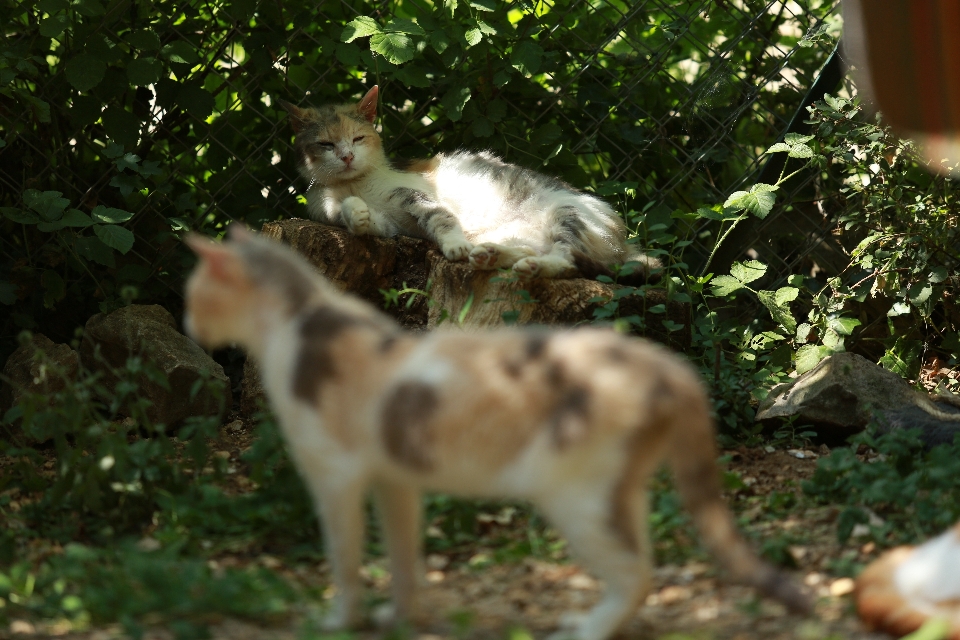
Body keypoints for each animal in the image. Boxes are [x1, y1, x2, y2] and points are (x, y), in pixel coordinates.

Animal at [182, 228, 808, 640]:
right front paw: (400, 620)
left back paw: (586, 631)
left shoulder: (334, 477)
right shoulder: (394, 480)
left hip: (571, 492)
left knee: (637, 571)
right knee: (643, 558)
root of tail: (663, 364)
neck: (298, 318)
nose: (187, 323)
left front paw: (338, 622)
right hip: (617, 487)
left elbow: (345, 558)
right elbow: (403, 557)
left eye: (193, 294)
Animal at [282, 87, 656, 280]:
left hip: (567, 214)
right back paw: (492, 256)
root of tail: (625, 245)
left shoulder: (415, 197)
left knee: (568, 259)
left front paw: (454, 246)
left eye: (358, 138)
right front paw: (358, 216)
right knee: (536, 250)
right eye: (326, 145)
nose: (346, 156)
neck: (355, 183)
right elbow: (362, 219)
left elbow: (441, 218)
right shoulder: (381, 224)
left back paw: (528, 265)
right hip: (516, 233)